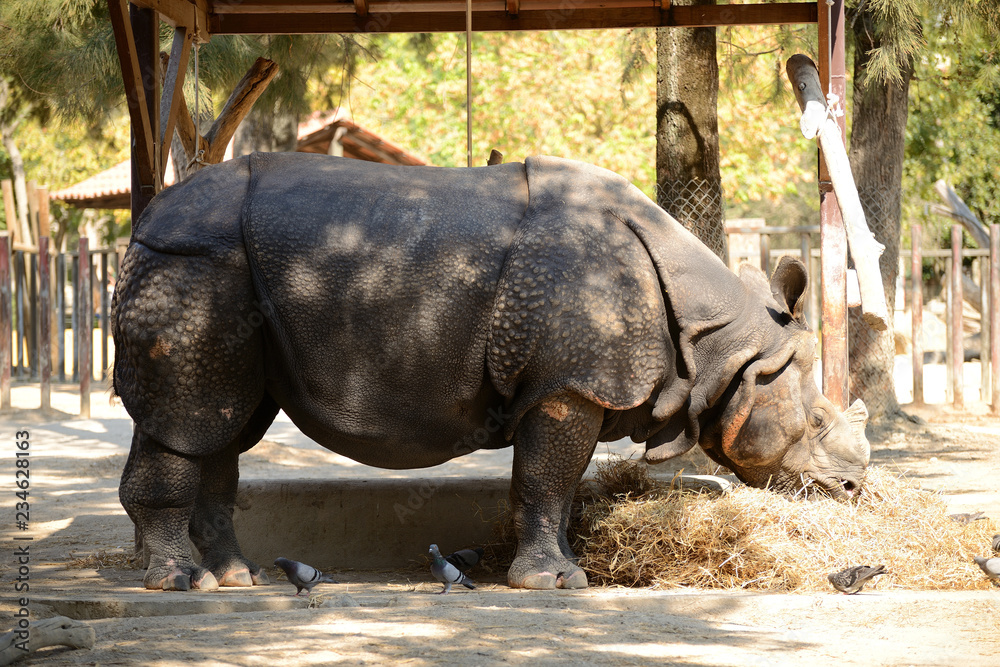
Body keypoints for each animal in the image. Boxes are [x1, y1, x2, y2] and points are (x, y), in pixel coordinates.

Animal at [112, 153, 870, 591]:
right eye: (817, 418)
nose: (856, 490)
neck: (724, 342)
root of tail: (145, 217)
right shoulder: (570, 382)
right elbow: (545, 476)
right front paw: (552, 583)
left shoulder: (569, 380)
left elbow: (556, 484)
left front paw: (563, 569)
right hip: (194, 263)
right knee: (191, 416)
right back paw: (180, 583)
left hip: (219, 267)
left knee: (223, 423)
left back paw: (233, 577)